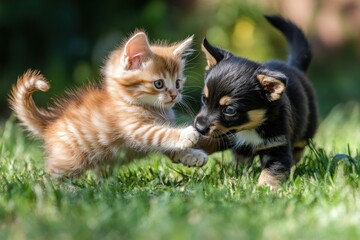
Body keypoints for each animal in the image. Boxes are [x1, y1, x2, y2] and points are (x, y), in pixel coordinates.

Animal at [9, 31, 207, 178]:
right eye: (159, 84)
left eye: (178, 83)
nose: (174, 95)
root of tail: (50, 122)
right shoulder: (135, 128)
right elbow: (161, 134)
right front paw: (188, 135)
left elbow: (170, 147)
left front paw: (193, 156)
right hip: (69, 160)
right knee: (49, 180)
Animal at [194, 15, 318, 188]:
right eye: (204, 99)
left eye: (230, 110)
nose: (199, 128)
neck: (250, 127)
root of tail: (294, 67)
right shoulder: (227, 136)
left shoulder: (277, 146)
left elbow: (271, 171)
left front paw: (265, 188)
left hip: (305, 131)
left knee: (298, 148)